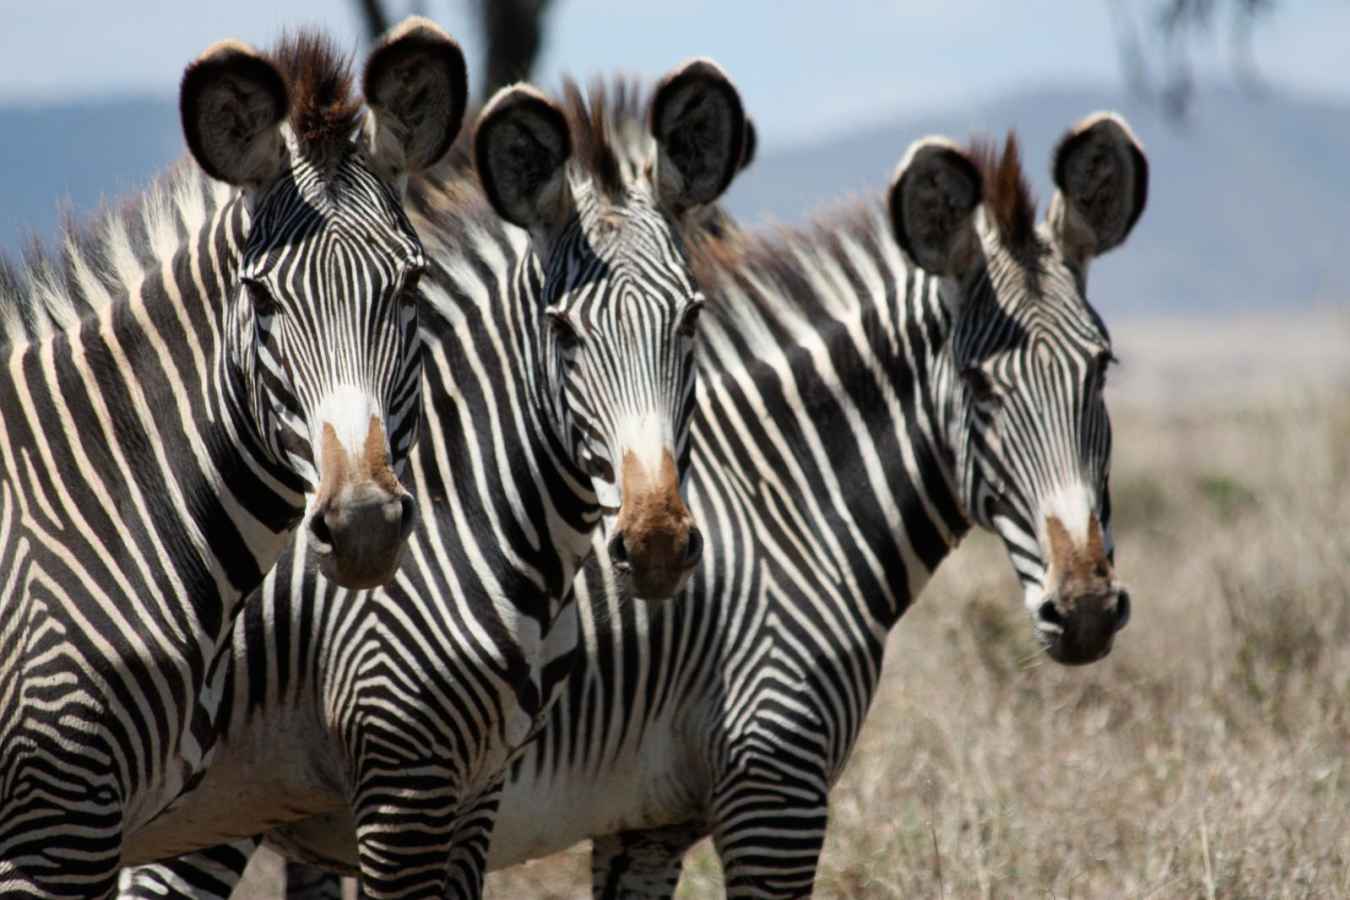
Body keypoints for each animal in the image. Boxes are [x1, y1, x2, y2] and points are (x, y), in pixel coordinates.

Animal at [116, 63, 750, 899]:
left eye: (691, 318)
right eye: (562, 330)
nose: (655, 543)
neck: (472, 509)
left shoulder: (477, 789)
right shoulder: (401, 780)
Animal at [196, 110, 1148, 899]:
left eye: (1101, 369)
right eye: (981, 390)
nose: (1087, 609)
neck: (788, 501)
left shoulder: (647, 828)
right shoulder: (774, 784)